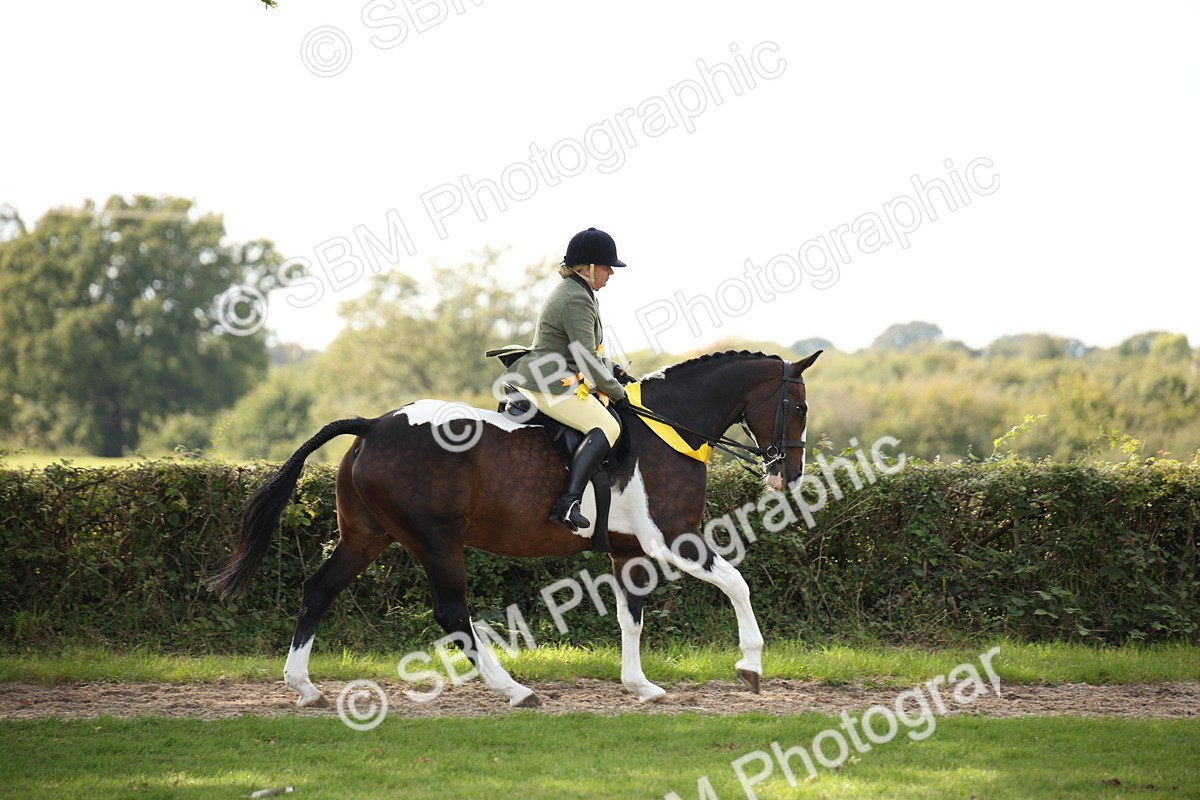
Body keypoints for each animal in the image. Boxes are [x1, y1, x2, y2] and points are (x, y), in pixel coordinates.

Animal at [206, 349, 821, 708]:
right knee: (452, 614)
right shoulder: (672, 539)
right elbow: (738, 583)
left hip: (366, 537)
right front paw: (750, 665)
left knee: (318, 591)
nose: (788, 474)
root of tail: (374, 424)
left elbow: (631, 617)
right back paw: (514, 689)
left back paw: (304, 687)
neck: (667, 428)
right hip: (438, 543)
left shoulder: (628, 550)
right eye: (799, 408)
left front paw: (639, 686)